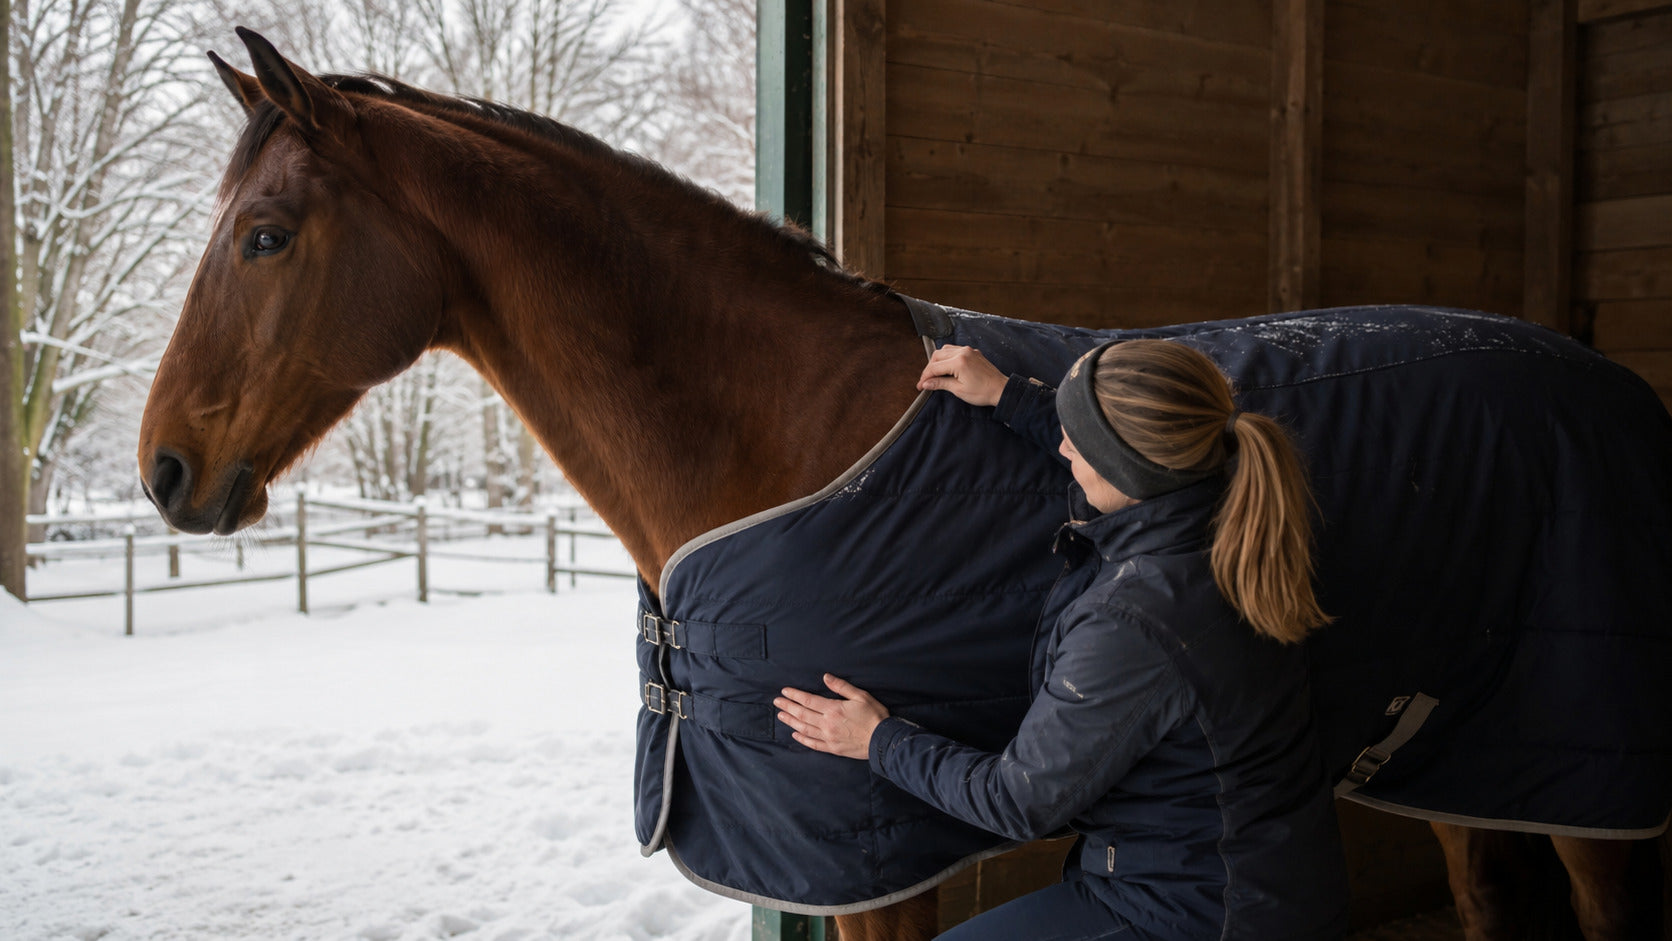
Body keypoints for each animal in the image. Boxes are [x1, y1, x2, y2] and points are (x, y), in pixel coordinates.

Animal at [137, 29, 1666, 940]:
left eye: (264, 234)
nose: (164, 469)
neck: (786, 430)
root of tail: (1617, 391)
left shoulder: (870, 847)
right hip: (1458, 749)